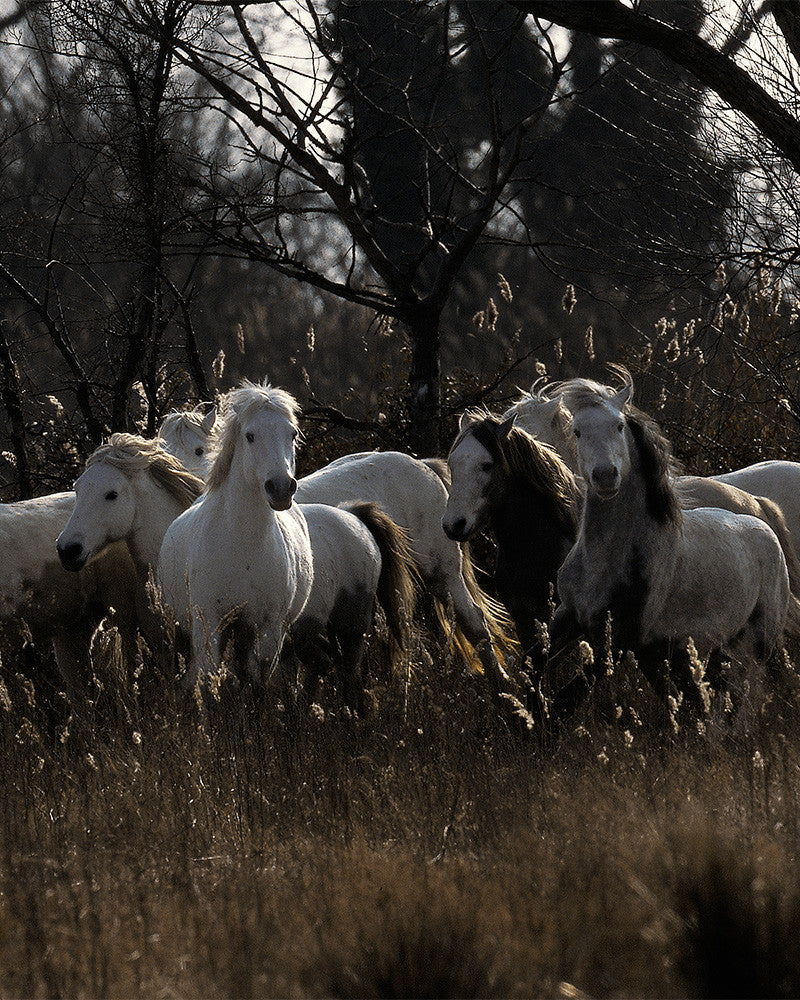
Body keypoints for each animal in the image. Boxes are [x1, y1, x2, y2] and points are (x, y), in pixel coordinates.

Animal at [162, 411, 515, 699]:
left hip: (443, 573)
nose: (177, 477)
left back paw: (500, 686)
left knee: (471, 623)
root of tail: (421, 464)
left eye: (200, 450)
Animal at [548, 378, 792, 721]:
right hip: (706, 649)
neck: (604, 561)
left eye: (619, 425)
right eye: (577, 431)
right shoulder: (571, 616)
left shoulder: (621, 638)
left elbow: (566, 700)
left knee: (757, 689)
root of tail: (763, 520)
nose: (605, 476)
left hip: (758, 641)